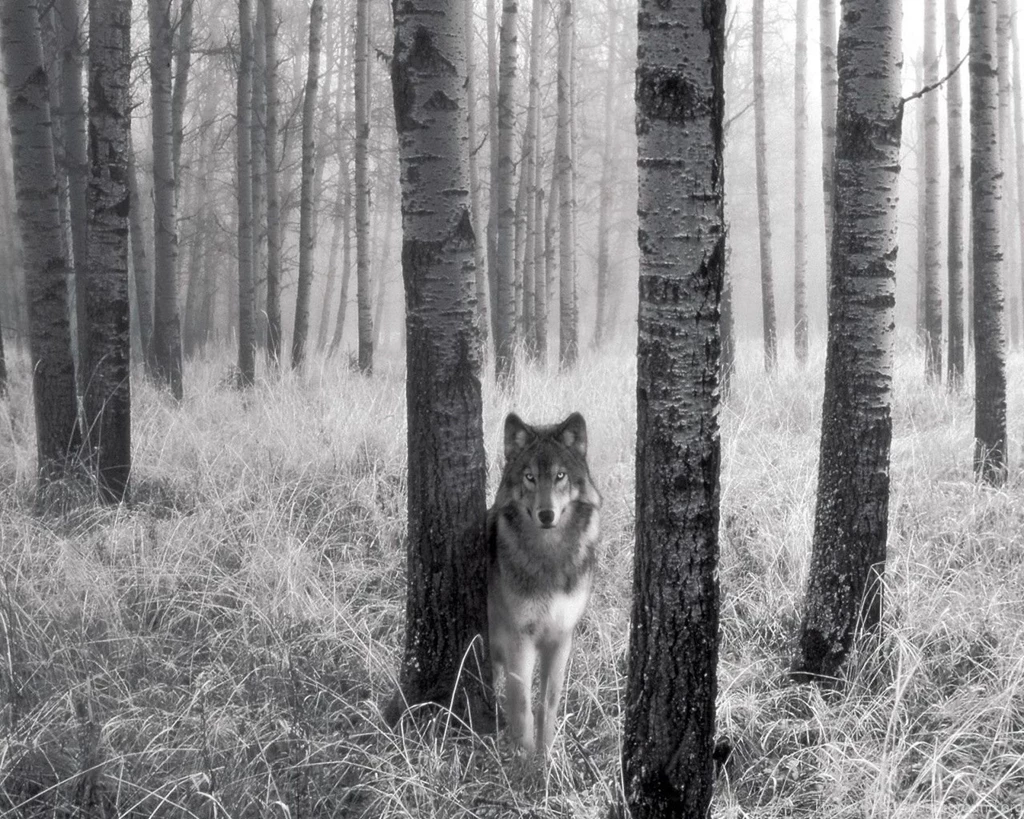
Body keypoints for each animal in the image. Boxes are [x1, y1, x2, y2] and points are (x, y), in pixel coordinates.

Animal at [487, 411, 601, 756]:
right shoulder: (519, 638)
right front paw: (524, 759)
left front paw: (547, 755)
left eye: (560, 476)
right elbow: (523, 704)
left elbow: (548, 703)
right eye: (530, 477)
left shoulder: (561, 637)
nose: (546, 514)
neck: (549, 557)